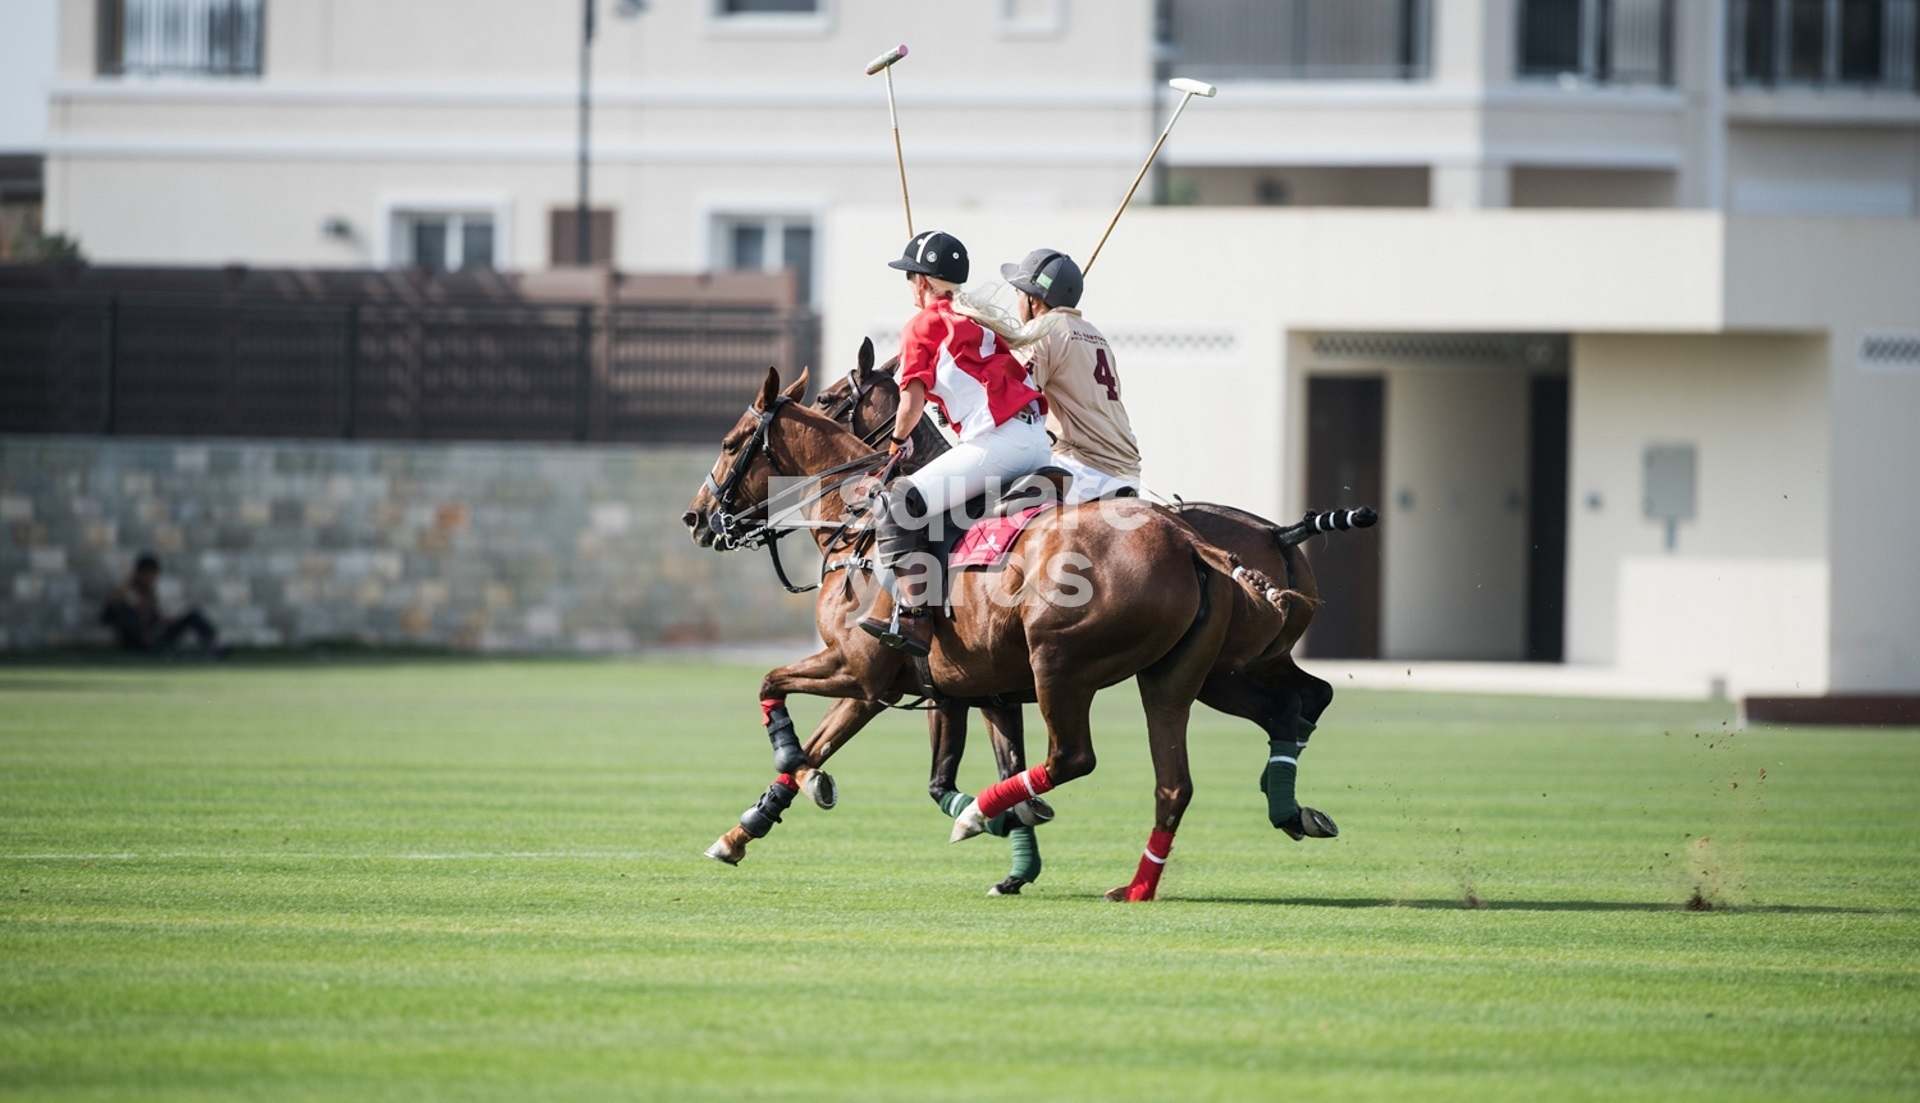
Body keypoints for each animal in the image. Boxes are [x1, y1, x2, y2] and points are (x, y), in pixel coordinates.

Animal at [683, 367, 1297, 903]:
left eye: (731, 443)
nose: (696, 518)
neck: (856, 530)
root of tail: (1186, 538)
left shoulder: (858, 669)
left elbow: (773, 687)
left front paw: (801, 770)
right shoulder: (935, 688)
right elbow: (896, 761)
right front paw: (741, 831)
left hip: (1059, 665)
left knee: (1074, 757)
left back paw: (985, 814)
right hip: (1170, 678)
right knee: (1174, 784)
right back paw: (1137, 886)